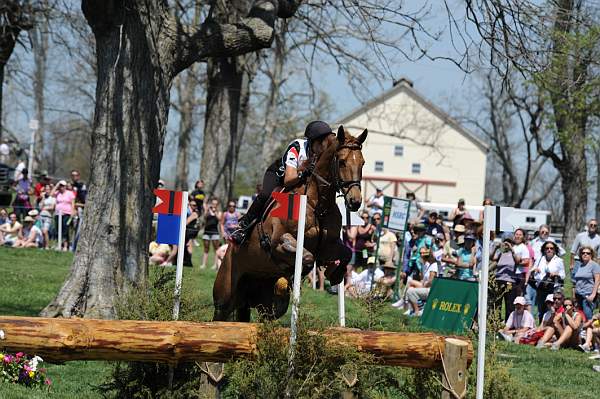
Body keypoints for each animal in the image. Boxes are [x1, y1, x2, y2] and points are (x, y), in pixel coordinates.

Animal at [213, 126, 368, 324]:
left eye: (362, 163)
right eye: (341, 162)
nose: (355, 202)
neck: (317, 204)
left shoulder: (328, 245)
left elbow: (346, 253)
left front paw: (334, 274)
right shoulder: (278, 241)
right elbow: (307, 257)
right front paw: (296, 275)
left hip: (263, 304)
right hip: (224, 295)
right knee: (219, 313)